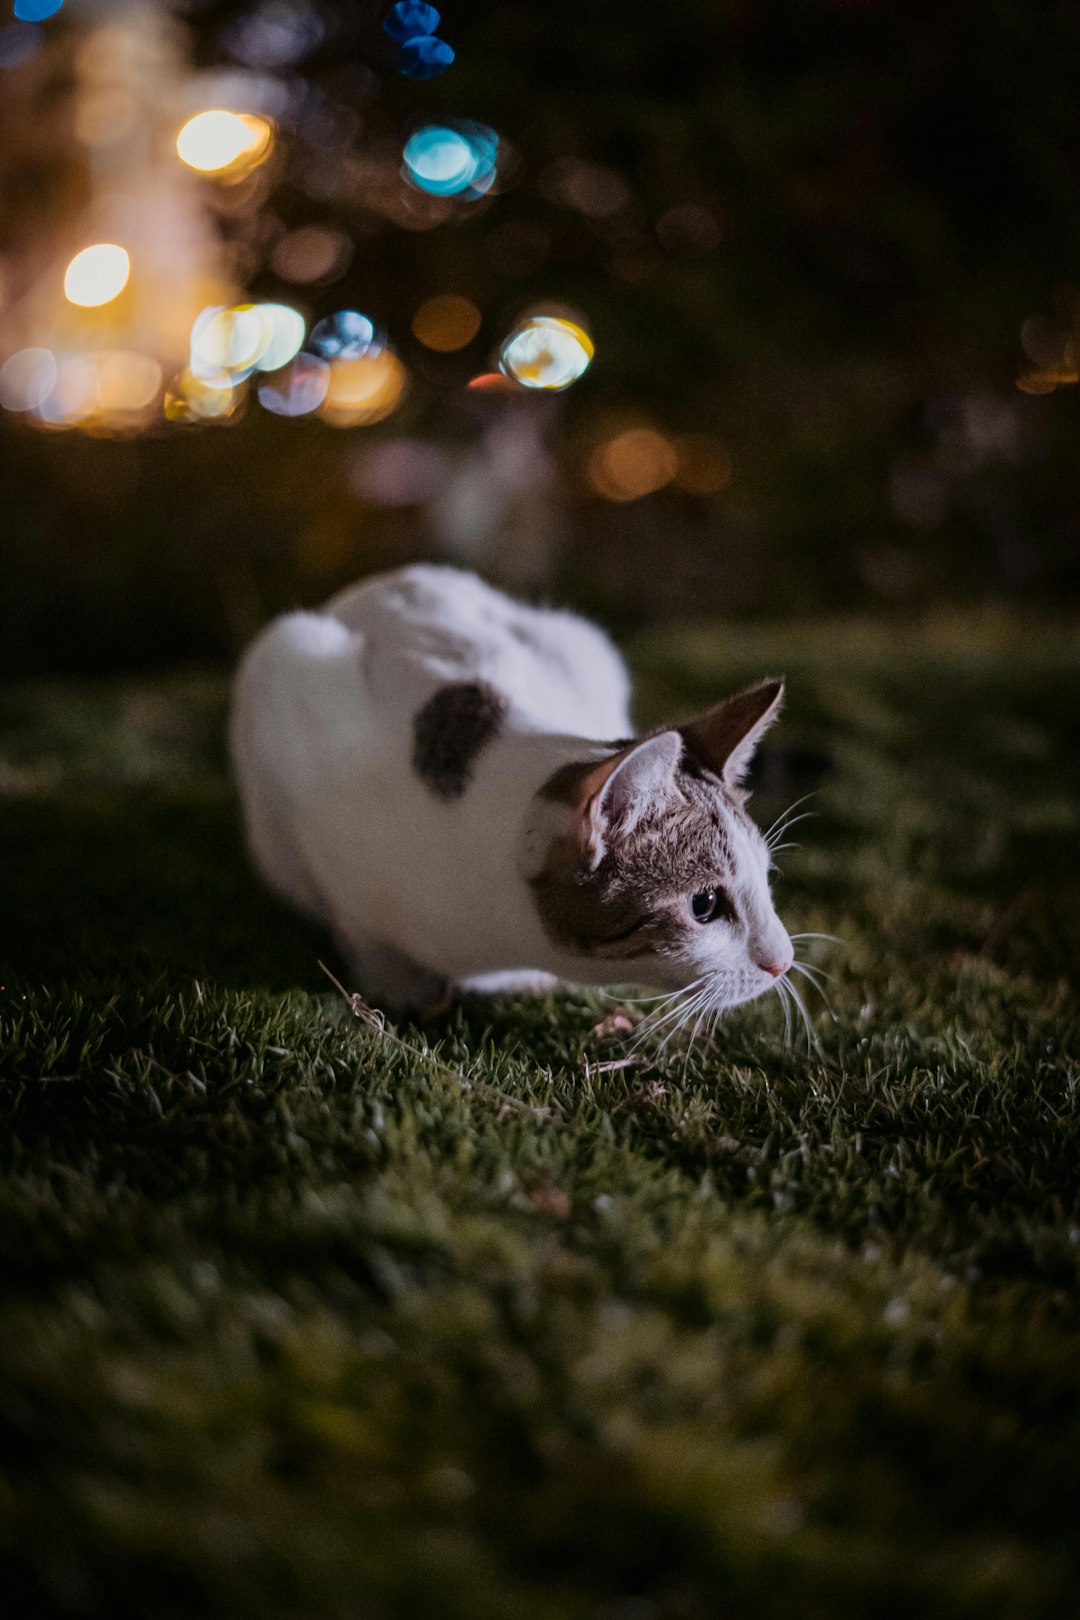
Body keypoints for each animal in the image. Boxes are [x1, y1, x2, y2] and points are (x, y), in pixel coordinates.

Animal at [233, 567, 793, 1010]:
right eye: (704, 905)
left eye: (767, 878)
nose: (785, 961)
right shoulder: (297, 701)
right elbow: (353, 917)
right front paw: (395, 980)